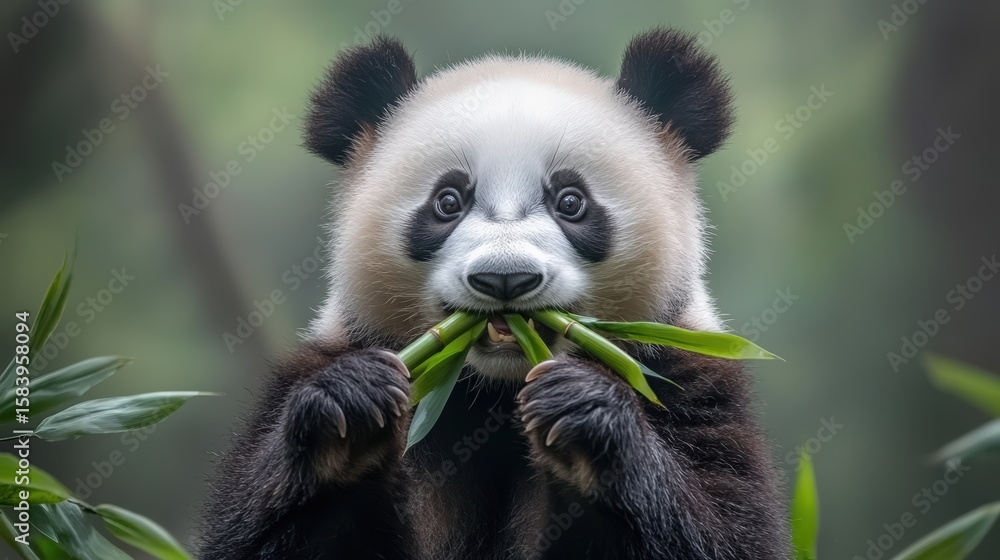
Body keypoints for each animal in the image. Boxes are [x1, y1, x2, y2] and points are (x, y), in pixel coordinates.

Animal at [200, 28, 790, 560]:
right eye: (447, 201)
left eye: (571, 201)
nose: (505, 279)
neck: (493, 392)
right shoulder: (332, 358)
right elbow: (260, 530)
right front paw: (348, 408)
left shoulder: (683, 377)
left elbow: (724, 527)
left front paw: (584, 412)